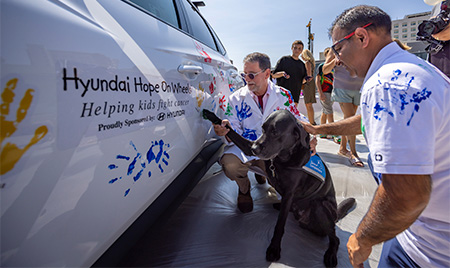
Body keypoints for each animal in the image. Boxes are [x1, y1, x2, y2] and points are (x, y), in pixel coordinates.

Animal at [203, 109, 356, 268]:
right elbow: (231, 130)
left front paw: (274, 249)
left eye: (275, 132)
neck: (283, 159)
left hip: (321, 206)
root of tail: (335, 216)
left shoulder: (289, 194)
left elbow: (280, 224)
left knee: (335, 238)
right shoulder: (250, 148)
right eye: (263, 129)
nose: (255, 148)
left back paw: (331, 255)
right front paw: (213, 117)